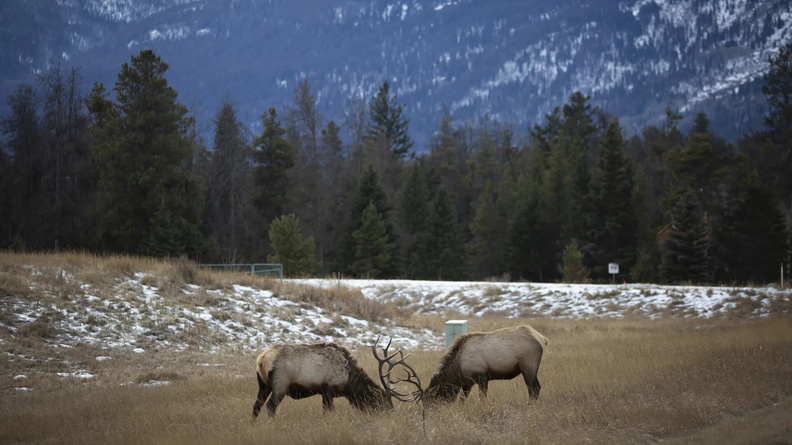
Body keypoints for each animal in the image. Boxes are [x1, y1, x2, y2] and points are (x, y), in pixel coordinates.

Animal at [252, 342, 393, 418]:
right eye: (382, 400)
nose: (392, 413)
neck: (348, 380)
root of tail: (262, 358)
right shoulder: (329, 388)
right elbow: (328, 411)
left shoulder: (323, 392)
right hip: (280, 385)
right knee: (270, 406)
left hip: (263, 384)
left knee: (257, 405)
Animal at [372, 325, 549, 406]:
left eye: (431, 399)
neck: (457, 371)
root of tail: (542, 338)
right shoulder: (466, 383)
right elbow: (462, 400)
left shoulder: (482, 376)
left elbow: (482, 398)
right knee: (536, 387)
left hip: (528, 367)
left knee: (534, 388)